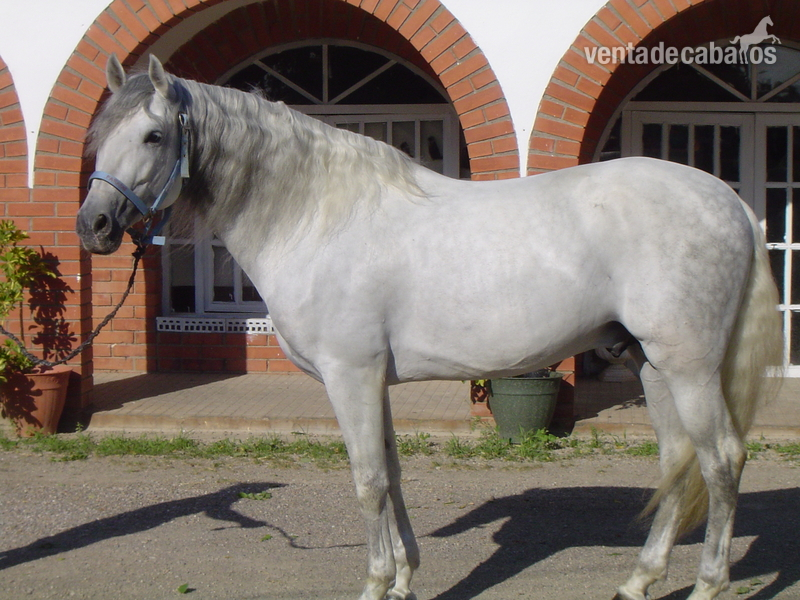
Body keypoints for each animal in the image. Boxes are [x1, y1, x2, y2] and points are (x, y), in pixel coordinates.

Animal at [77, 54, 783, 600]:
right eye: (101, 134)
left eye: (153, 136)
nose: (94, 226)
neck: (316, 215)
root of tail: (731, 203)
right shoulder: (373, 381)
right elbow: (390, 474)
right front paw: (402, 579)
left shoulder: (350, 377)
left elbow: (367, 481)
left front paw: (373, 584)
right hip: (653, 365)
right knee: (678, 461)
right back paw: (640, 579)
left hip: (689, 367)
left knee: (721, 460)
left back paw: (708, 583)